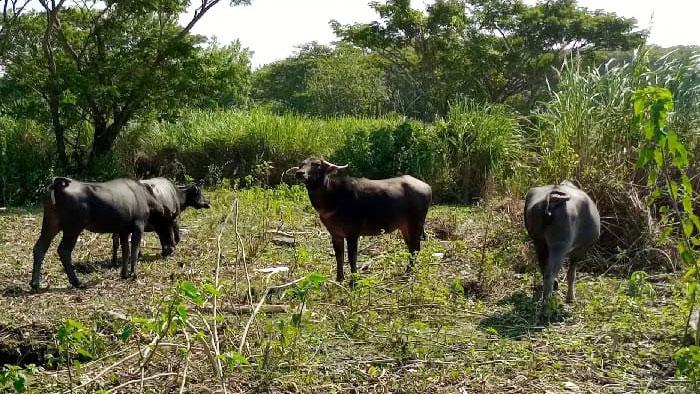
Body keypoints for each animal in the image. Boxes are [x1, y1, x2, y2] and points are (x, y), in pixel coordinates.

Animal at [31, 176, 171, 290]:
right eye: (170, 223)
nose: (170, 247)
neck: (146, 199)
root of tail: (58, 185)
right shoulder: (138, 226)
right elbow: (134, 251)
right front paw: (134, 274)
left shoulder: (124, 230)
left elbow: (125, 251)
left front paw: (124, 274)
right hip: (73, 228)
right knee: (63, 250)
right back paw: (77, 282)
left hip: (52, 224)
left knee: (39, 248)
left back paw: (35, 284)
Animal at [292, 158, 432, 284]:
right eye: (302, 164)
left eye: (316, 164)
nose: (300, 173)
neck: (334, 198)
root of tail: (427, 187)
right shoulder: (336, 234)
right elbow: (339, 256)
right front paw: (339, 279)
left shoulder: (353, 233)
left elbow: (352, 257)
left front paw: (353, 282)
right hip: (404, 226)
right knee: (411, 248)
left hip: (416, 223)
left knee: (415, 248)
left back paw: (408, 273)